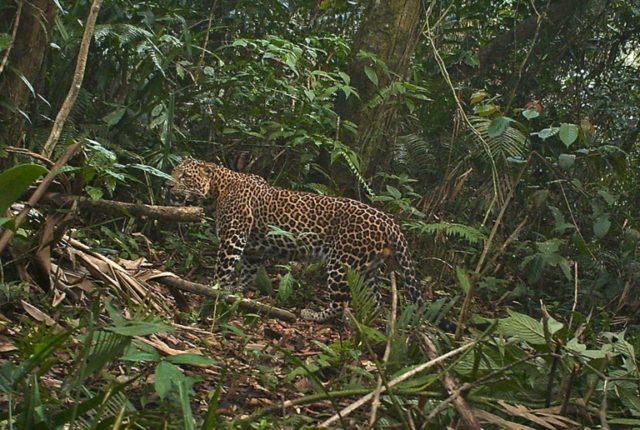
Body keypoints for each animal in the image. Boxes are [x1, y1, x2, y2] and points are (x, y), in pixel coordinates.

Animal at [168, 156, 422, 320]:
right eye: (173, 171)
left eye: (185, 176)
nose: (167, 184)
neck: (217, 190)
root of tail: (388, 220)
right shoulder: (252, 250)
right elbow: (248, 273)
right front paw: (236, 292)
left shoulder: (233, 238)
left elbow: (222, 269)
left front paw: (212, 290)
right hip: (365, 269)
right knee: (374, 301)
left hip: (341, 263)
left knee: (341, 302)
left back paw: (314, 315)